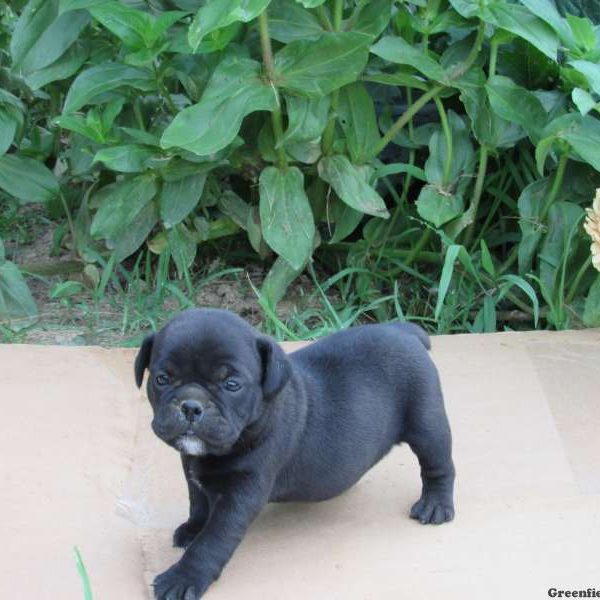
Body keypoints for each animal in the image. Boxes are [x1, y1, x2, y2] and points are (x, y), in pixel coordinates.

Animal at [136, 310, 454, 600]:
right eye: (162, 379)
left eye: (232, 384)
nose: (191, 405)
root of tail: (404, 332)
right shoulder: (192, 471)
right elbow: (198, 502)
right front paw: (192, 529)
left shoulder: (241, 494)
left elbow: (212, 541)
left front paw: (184, 577)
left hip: (427, 424)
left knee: (438, 465)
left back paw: (435, 505)